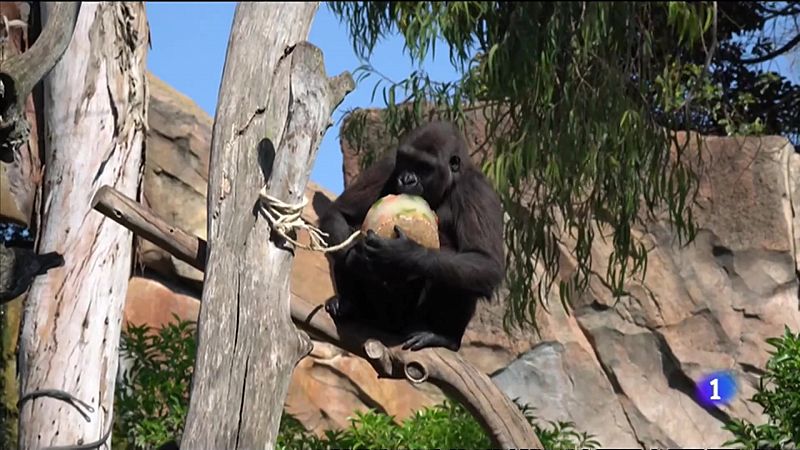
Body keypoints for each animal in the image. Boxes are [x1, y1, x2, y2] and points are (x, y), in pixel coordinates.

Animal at [320, 119, 504, 352]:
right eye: (407, 161)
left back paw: (443, 336)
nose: (407, 179)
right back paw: (348, 305)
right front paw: (356, 261)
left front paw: (400, 254)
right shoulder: (388, 164)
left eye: (425, 167)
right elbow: (340, 214)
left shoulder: (478, 191)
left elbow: (485, 262)